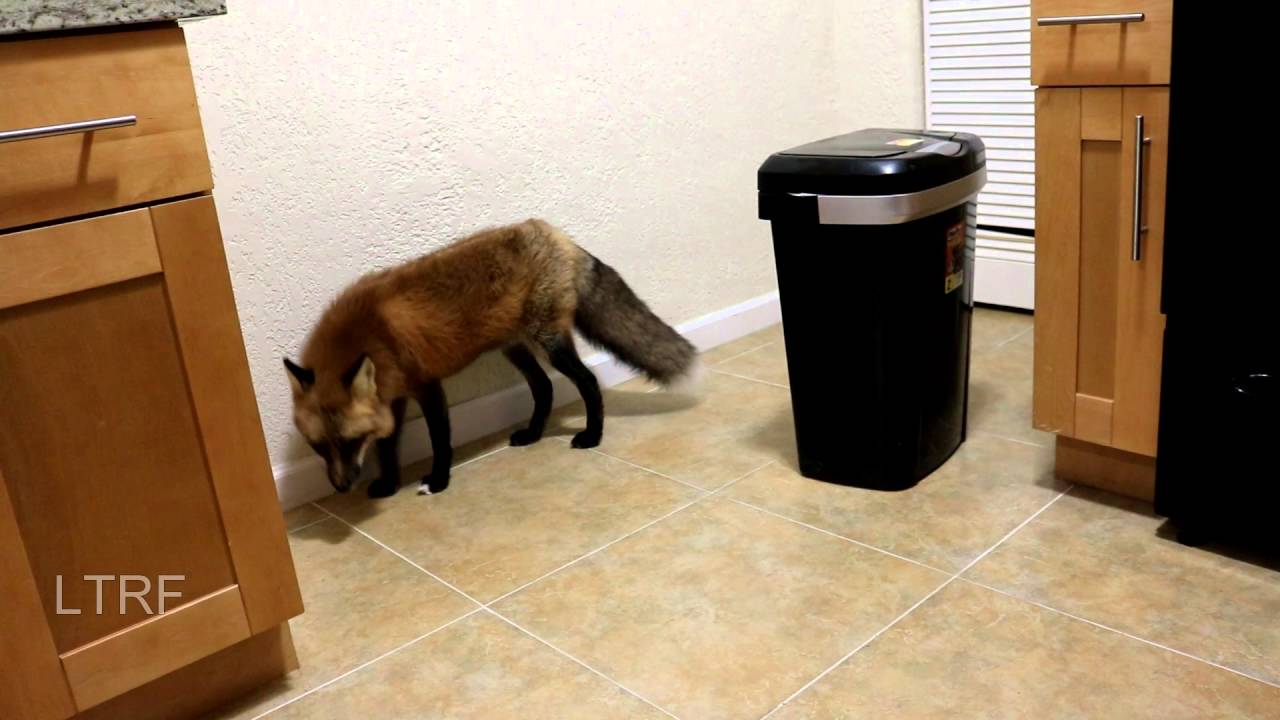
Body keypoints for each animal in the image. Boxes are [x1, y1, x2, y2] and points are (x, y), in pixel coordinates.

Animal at [284, 219, 700, 498]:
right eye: (319, 446)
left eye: (350, 442)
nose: (341, 487)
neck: (369, 332)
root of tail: (554, 233)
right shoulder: (392, 394)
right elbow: (388, 444)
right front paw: (388, 483)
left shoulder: (425, 385)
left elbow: (440, 440)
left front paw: (438, 481)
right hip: (516, 347)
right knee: (544, 388)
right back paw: (533, 434)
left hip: (549, 342)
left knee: (588, 382)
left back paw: (592, 436)